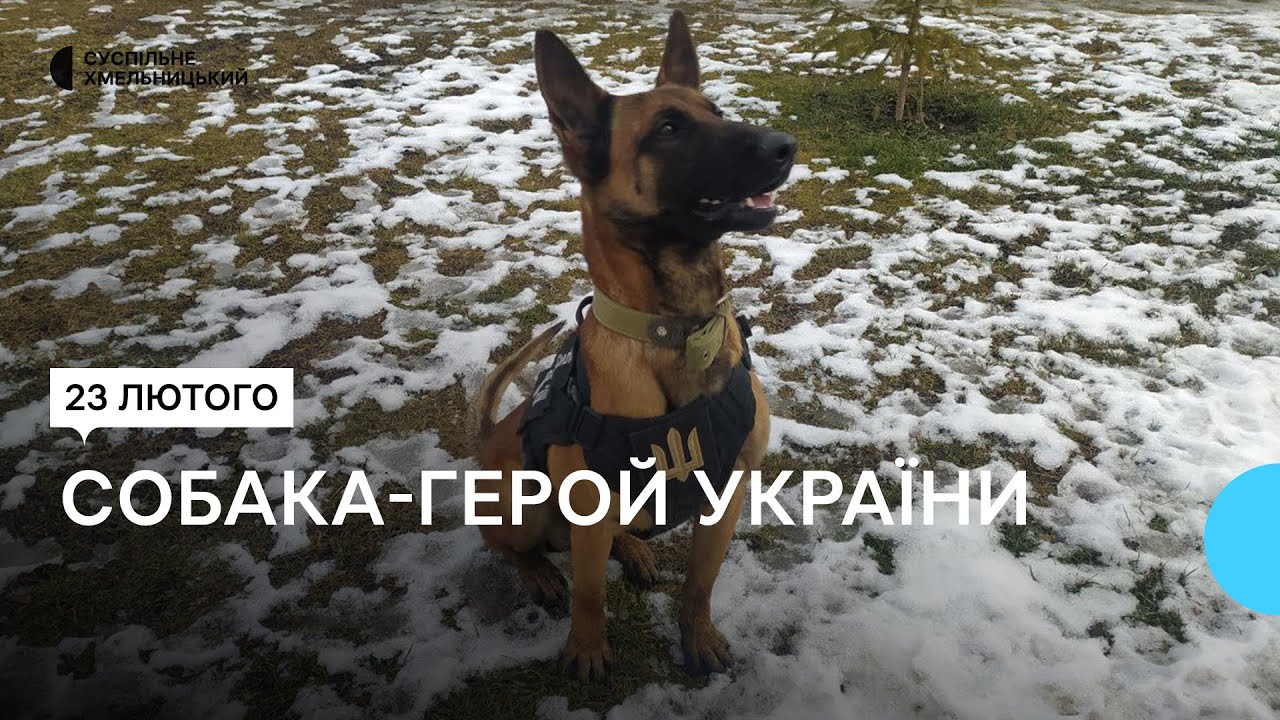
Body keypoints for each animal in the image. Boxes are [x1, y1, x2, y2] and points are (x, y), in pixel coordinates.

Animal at [472, 11, 795, 682]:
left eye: (716, 111)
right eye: (669, 129)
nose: (785, 147)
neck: (677, 330)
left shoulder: (726, 499)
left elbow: (700, 583)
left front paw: (698, 637)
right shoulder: (586, 507)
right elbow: (591, 593)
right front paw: (588, 648)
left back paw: (634, 552)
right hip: (521, 504)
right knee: (515, 549)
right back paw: (540, 572)